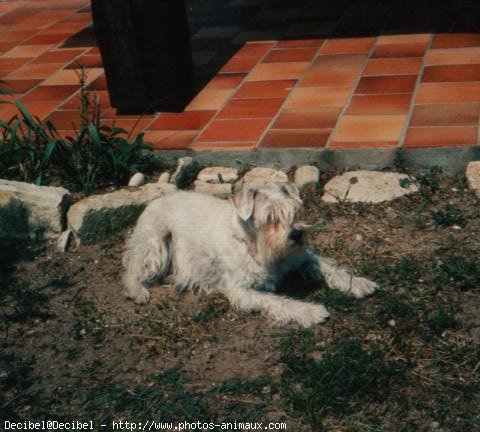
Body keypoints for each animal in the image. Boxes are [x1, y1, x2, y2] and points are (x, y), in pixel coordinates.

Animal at [122, 182, 376, 328]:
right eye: (270, 217)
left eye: (294, 211)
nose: (296, 234)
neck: (255, 245)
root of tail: (156, 199)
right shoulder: (242, 290)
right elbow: (278, 301)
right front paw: (310, 311)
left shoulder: (301, 257)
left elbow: (327, 266)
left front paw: (358, 283)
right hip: (155, 243)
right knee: (131, 269)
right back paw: (138, 291)